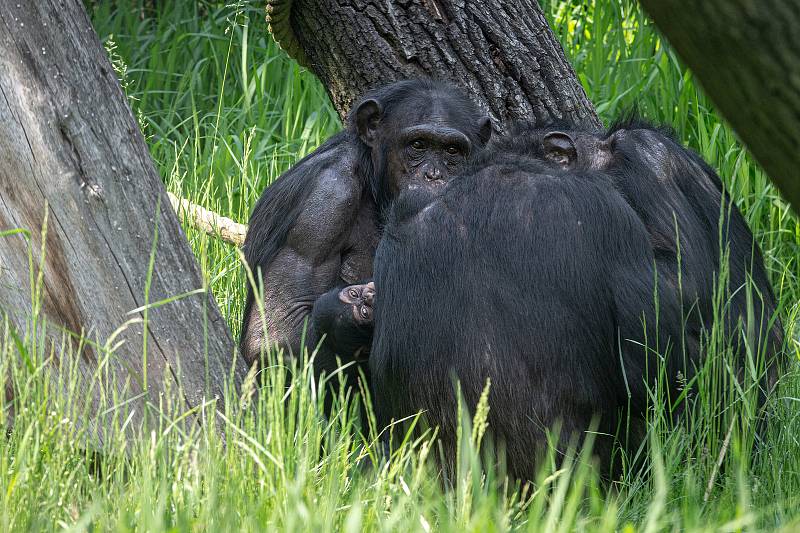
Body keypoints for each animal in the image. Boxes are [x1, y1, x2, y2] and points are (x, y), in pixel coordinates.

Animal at [241, 78, 494, 386]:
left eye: (452, 151)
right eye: (418, 145)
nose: (434, 175)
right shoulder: (323, 203)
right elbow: (275, 332)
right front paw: (353, 314)